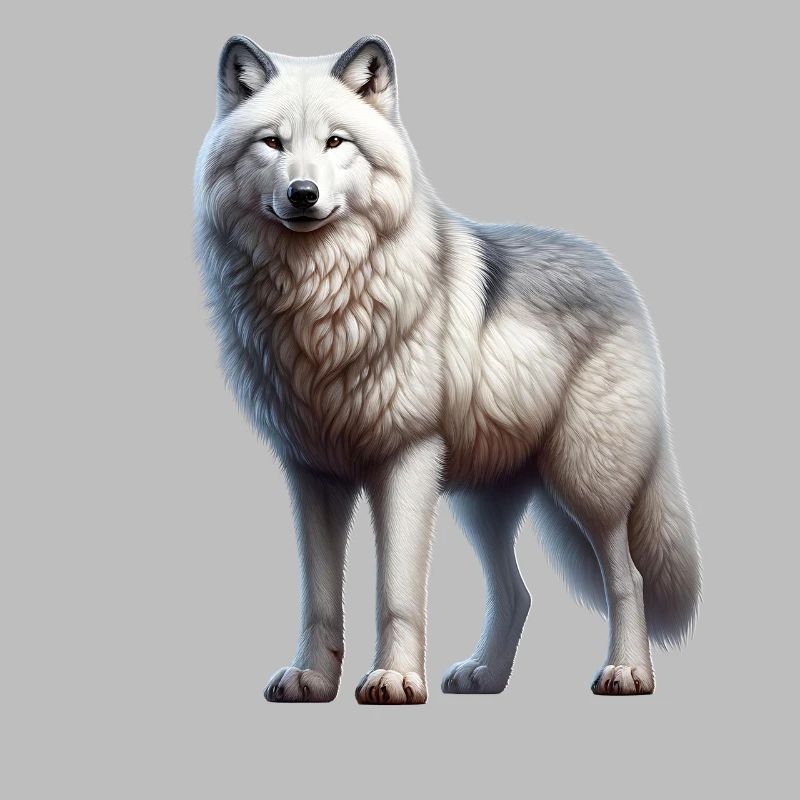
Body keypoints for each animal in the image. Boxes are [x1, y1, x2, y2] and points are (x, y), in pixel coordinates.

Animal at [194, 34, 701, 703]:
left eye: (336, 142)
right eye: (272, 142)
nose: (303, 194)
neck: (323, 299)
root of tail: (614, 269)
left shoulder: (407, 458)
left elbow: (397, 590)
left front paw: (395, 678)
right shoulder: (311, 471)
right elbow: (320, 596)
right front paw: (313, 678)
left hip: (586, 482)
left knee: (628, 577)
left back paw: (627, 673)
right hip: (482, 504)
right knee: (517, 594)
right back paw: (485, 676)